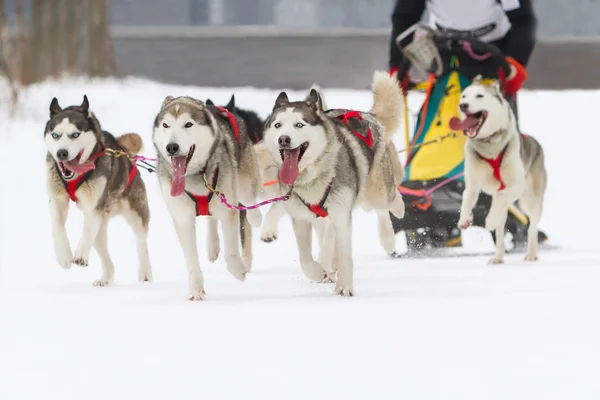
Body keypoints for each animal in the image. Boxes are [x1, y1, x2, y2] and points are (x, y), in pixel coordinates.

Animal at [44, 95, 152, 286]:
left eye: (75, 135)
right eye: (55, 135)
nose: (61, 153)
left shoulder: (94, 207)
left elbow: (86, 231)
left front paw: (79, 255)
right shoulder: (57, 200)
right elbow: (57, 226)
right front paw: (64, 255)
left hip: (135, 214)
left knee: (141, 242)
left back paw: (145, 273)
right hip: (101, 226)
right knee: (103, 252)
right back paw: (106, 278)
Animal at [152, 94, 260, 300]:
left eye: (188, 124)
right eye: (166, 125)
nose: (171, 147)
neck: (195, 175)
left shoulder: (228, 210)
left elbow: (231, 254)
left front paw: (239, 271)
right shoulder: (183, 218)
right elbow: (192, 261)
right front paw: (196, 290)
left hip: (244, 185)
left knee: (250, 203)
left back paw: (255, 218)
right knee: (211, 217)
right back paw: (212, 246)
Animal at [264, 70, 408, 296]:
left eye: (299, 124)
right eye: (277, 125)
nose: (284, 139)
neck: (313, 175)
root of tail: (366, 114)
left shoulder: (341, 216)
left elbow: (346, 255)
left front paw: (345, 287)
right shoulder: (300, 218)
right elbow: (305, 259)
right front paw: (319, 272)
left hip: (376, 192)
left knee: (387, 203)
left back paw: (390, 231)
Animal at [450, 75, 548, 264]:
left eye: (479, 96)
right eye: (464, 96)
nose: (463, 105)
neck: (489, 145)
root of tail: (536, 143)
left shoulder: (516, 185)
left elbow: (501, 196)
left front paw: (488, 220)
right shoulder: (472, 186)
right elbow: (466, 198)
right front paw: (465, 219)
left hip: (530, 201)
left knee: (531, 227)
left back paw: (531, 253)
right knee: (501, 230)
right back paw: (498, 256)